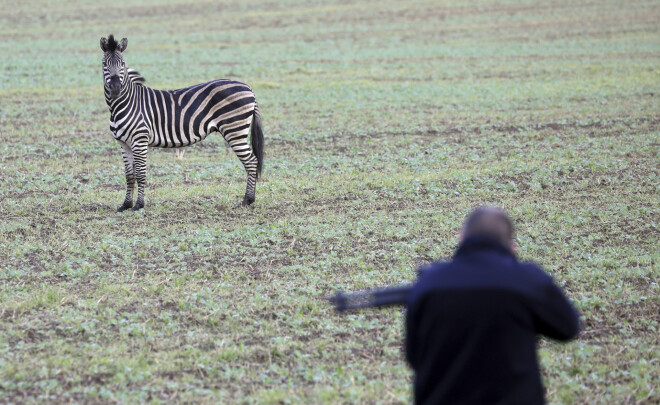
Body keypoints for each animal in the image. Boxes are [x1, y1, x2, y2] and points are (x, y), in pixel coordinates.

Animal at [99, 34, 264, 211]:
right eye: (104, 64)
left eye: (122, 64)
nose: (116, 88)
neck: (124, 103)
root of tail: (248, 87)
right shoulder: (124, 144)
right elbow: (129, 176)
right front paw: (125, 205)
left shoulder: (140, 140)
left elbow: (141, 174)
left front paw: (138, 205)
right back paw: (249, 199)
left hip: (235, 130)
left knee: (251, 161)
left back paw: (248, 200)